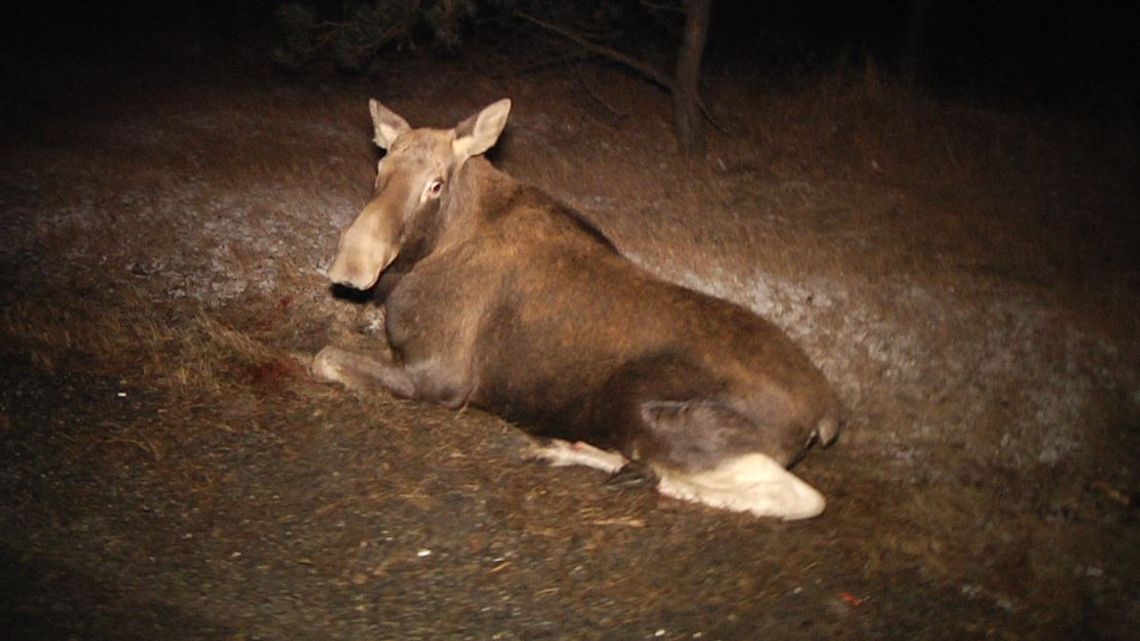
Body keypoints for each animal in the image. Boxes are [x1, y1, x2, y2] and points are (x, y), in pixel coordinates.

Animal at [316, 99, 843, 520]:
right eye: (379, 170)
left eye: (436, 185)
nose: (352, 268)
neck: (427, 255)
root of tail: (826, 416)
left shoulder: (440, 377)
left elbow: (325, 359)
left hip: (648, 412)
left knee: (801, 498)